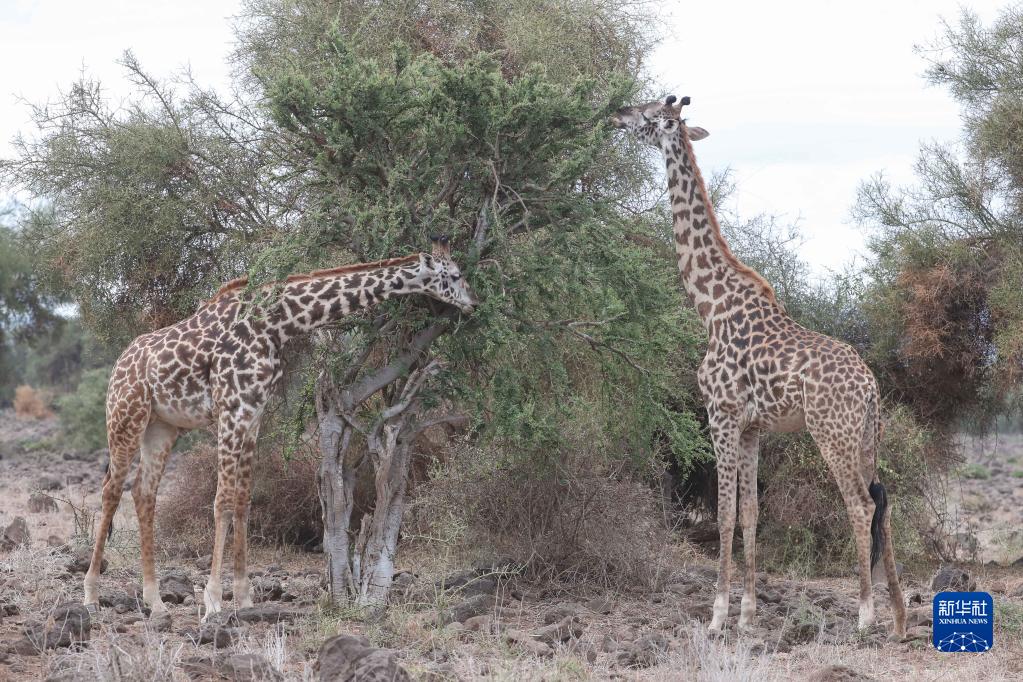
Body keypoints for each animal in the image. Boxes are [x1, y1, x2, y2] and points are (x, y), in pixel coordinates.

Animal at [81, 237, 476, 621]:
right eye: (455, 275)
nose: (472, 303)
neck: (274, 324)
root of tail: (118, 365)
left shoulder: (253, 415)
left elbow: (242, 500)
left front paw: (243, 597)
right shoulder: (232, 410)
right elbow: (222, 500)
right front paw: (213, 599)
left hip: (162, 427)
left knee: (143, 493)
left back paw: (155, 601)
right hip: (126, 417)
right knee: (112, 490)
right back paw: (91, 595)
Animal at [609, 93, 908, 638]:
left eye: (648, 114)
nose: (615, 114)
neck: (709, 305)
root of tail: (871, 385)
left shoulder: (721, 415)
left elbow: (724, 515)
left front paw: (717, 616)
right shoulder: (752, 428)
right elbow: (749, 513)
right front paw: (748, 614)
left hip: (831, 433)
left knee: (860, 505)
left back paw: (864, 614)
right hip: (866, 437)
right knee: (884, 506)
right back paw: (898, 618)